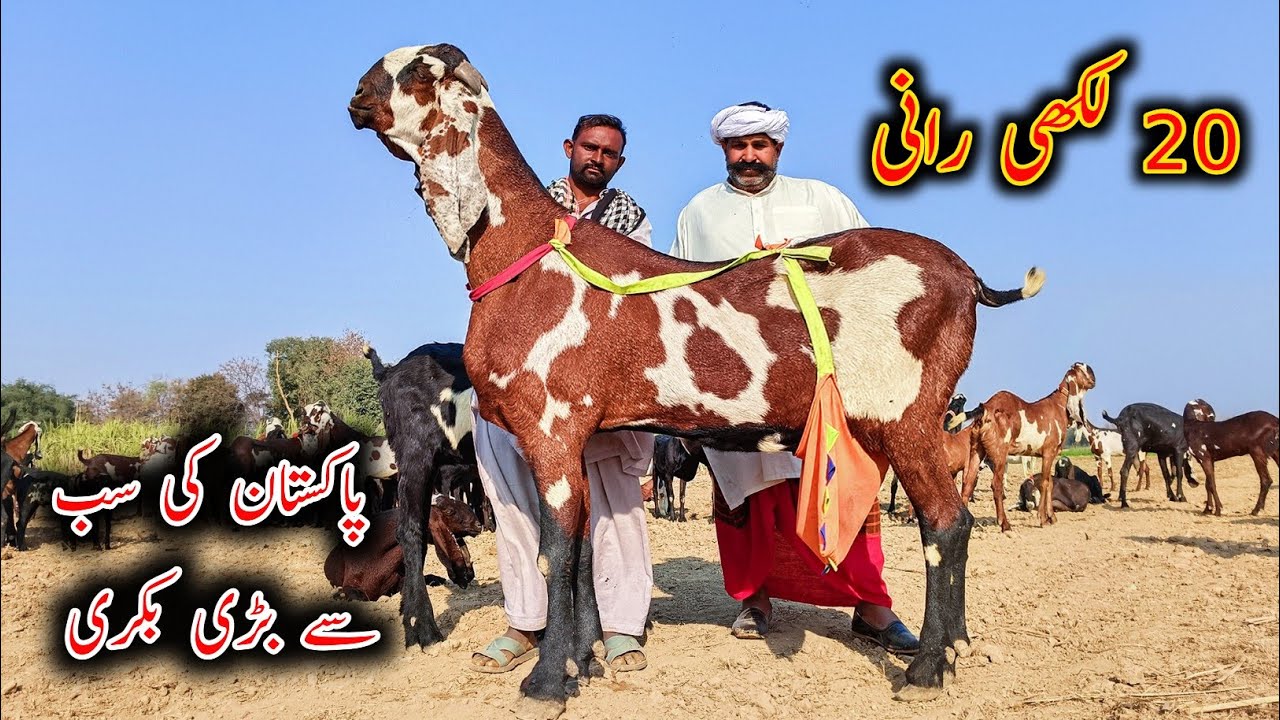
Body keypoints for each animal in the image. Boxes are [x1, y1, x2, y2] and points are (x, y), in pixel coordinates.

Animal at [959, 363, 1096, 531]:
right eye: (1085, 368)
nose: (1094, 378)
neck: (1058, 406)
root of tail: (986, 409)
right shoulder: (1049, 452)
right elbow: (1044, 483)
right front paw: (1043, 518)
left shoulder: (1049, 456)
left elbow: (1050, 483)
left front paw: (1052, 517)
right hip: (999, 454)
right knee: (996, 485)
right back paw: (1005, 524)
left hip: (976, 450)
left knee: (967, 483)